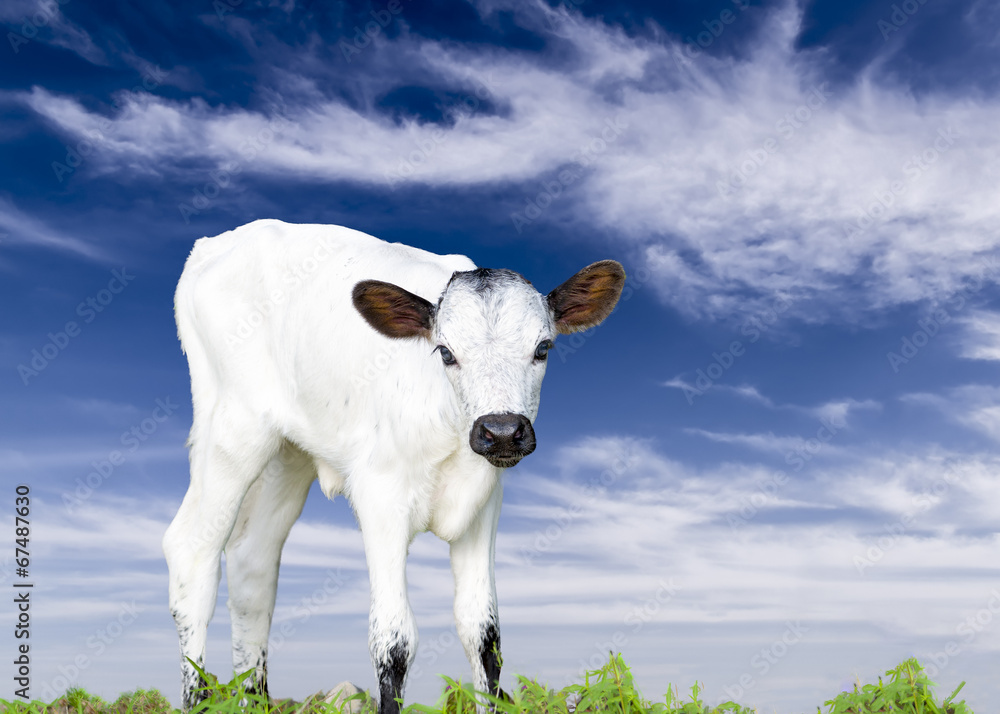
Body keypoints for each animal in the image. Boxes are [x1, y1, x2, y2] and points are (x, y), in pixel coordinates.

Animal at [162, 219, 625, 713]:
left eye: (543, 348)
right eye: (445, 352)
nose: (501, 431)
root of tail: (214, 243)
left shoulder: (484, 501)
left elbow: (484, 636)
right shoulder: (379, 495)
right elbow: (393, 641)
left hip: (287, 454)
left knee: (253, 564)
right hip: (232, 429)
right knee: (192, 551)